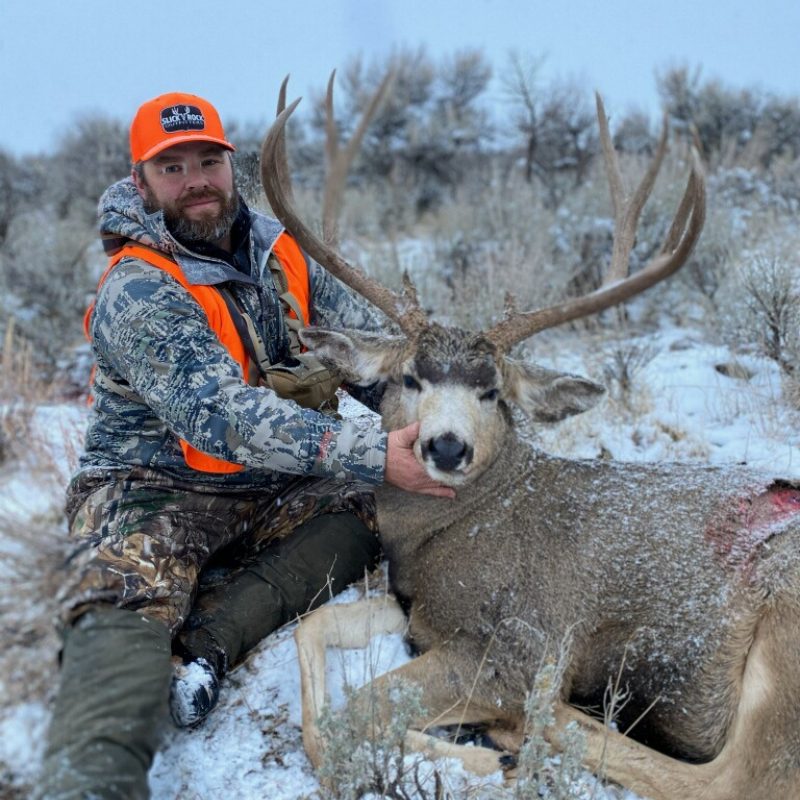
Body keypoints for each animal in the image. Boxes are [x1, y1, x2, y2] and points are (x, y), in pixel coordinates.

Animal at [260, 74, 800, 800]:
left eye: (493, 392)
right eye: (409, 377)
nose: (447, 446)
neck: (445, 534)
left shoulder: (514, 642)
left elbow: (352, 718)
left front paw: (488, 753)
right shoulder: (415, 609)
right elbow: (312, 628)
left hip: (781, 630)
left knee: (734, 778)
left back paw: (529, 733)